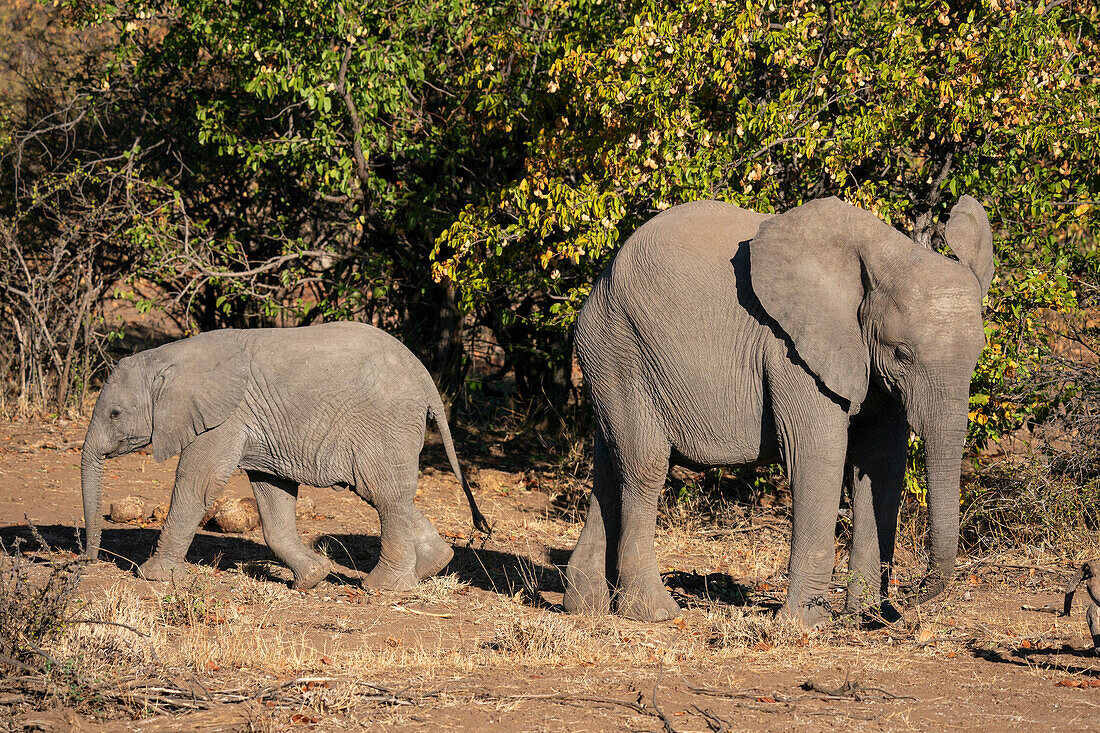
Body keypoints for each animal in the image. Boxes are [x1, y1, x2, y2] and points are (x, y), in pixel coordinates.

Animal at [79, 319, 488, 589]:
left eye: (115, 414)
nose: (88, 560)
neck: (170, 355)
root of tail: (425, 377)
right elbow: (273, 493)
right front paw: (312, 579)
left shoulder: (224, 417)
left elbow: (199, 483)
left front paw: (153, 576)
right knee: (387, 494)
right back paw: (430, 568)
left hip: (385, 423)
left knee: (384, 495)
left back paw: (382, 589)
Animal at [563, 197, 994, 625]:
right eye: (902, 353)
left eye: (978, 356)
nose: (909, 600)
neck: (887, 253)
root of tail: (601, 280)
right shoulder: (791, 351)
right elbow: (818, 453)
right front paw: (809, 624)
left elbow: (882, 463)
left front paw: (868, 618)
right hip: (620, 347)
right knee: (645, 465)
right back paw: (654, 612)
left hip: (608, 356)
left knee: (611, 464)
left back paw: (584, 606)